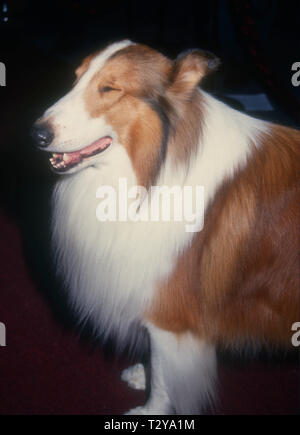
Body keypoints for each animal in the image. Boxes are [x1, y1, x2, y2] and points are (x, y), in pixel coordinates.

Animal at [31, 41, 300, 416]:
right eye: (76, 77)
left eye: (109, 88)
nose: (36, 134)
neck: (152, 173)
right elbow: (159, 364)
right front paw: (143, 374)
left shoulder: (171, 319)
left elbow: (164, 376)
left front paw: (151, 411)